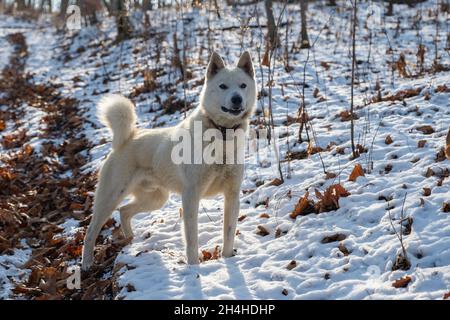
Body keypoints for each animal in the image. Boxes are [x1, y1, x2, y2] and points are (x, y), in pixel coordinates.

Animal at [81, 52, 256, 270]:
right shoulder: (191, 196)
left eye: (243, 85)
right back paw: (86, 263)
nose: (236, 99)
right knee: (91, 230)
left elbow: (229, 232)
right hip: (111, 197)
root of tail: (127, 138)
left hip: (156, 198)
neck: (222, 135)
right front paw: (193, 267)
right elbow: (191, 239)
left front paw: (228, 259)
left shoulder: (232, 195)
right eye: (223, 86)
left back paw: (131, 241)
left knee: (124, 211)